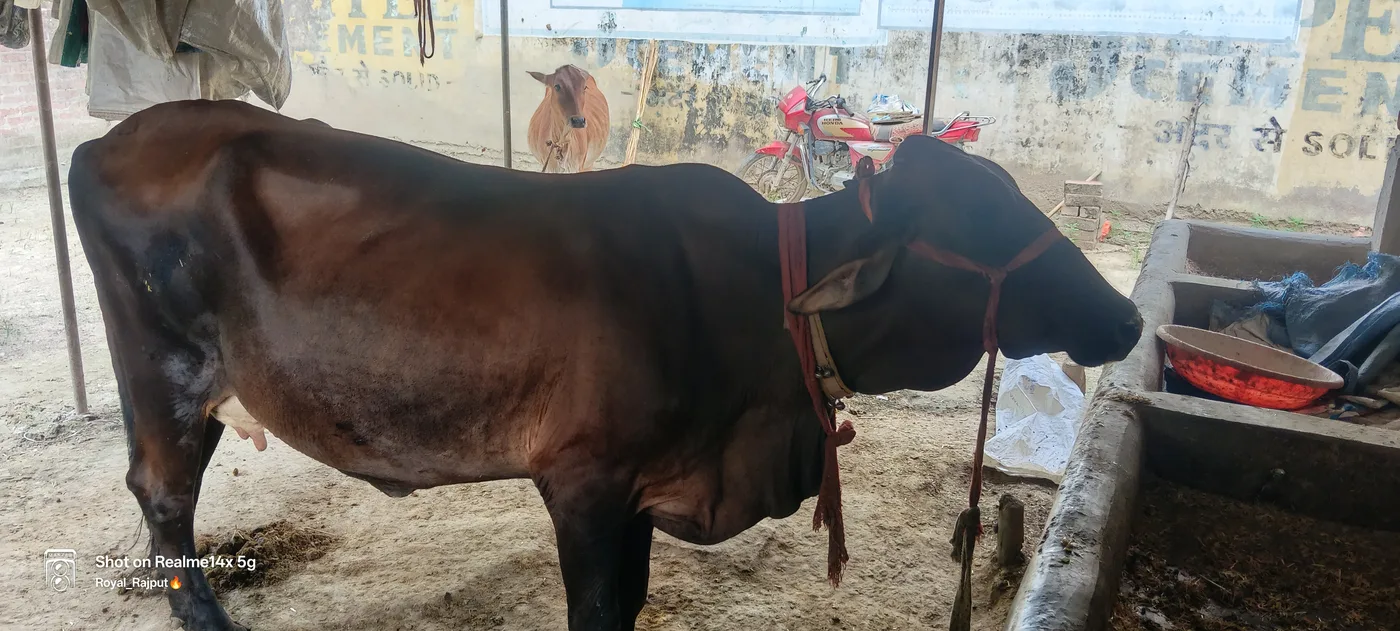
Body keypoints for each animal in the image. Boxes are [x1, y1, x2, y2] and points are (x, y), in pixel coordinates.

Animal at [68, 99, 1142, 631]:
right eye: (984, 220)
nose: (1126, 316)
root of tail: (109, 137)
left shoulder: (641, 493)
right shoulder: (583, 481)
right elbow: (595, 610)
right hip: (165, 372)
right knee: (162, 492)